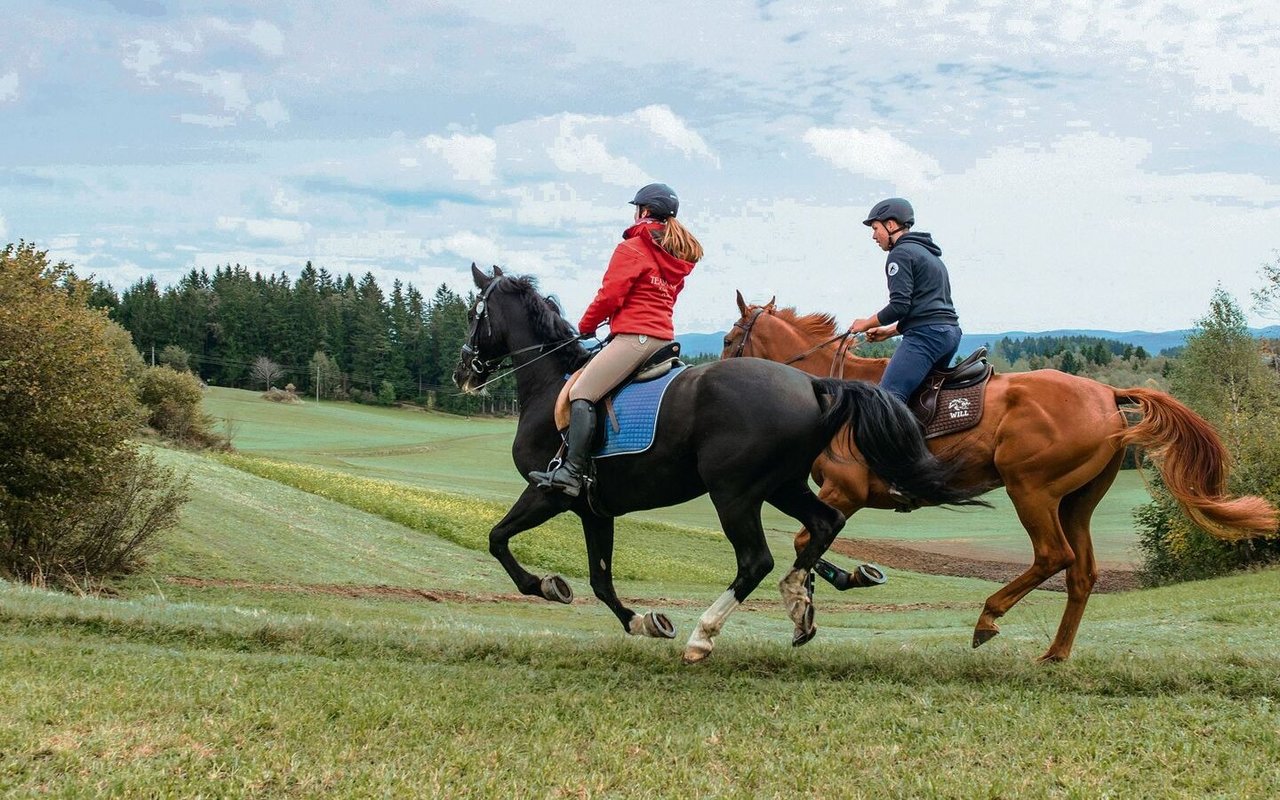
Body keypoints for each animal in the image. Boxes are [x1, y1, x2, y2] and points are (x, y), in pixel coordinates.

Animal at [455, 266, 983, 660]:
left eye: (473, 314)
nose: (463, 371)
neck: (551, 386)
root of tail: (813, 384)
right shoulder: (594, 509)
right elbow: (601, 579)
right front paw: (644, 622)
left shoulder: (548, 492)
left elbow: (497, 538)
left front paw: (543, 585)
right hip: (783, 486)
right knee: (822, 524)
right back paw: (799, 601)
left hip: (734, 493)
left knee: (757, 559)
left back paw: (705, 634)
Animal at [727, 290, 1274, 660]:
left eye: (731, 339)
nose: (714, 374)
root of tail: (1106, 393)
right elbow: (808, 541)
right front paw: (825, 596)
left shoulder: (846, 489)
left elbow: (805, 541)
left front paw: (823, 597)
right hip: (1076, 500)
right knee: (1082, 572)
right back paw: (1055, 654)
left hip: (1030, 488)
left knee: (1053, 556)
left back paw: (988, 618)